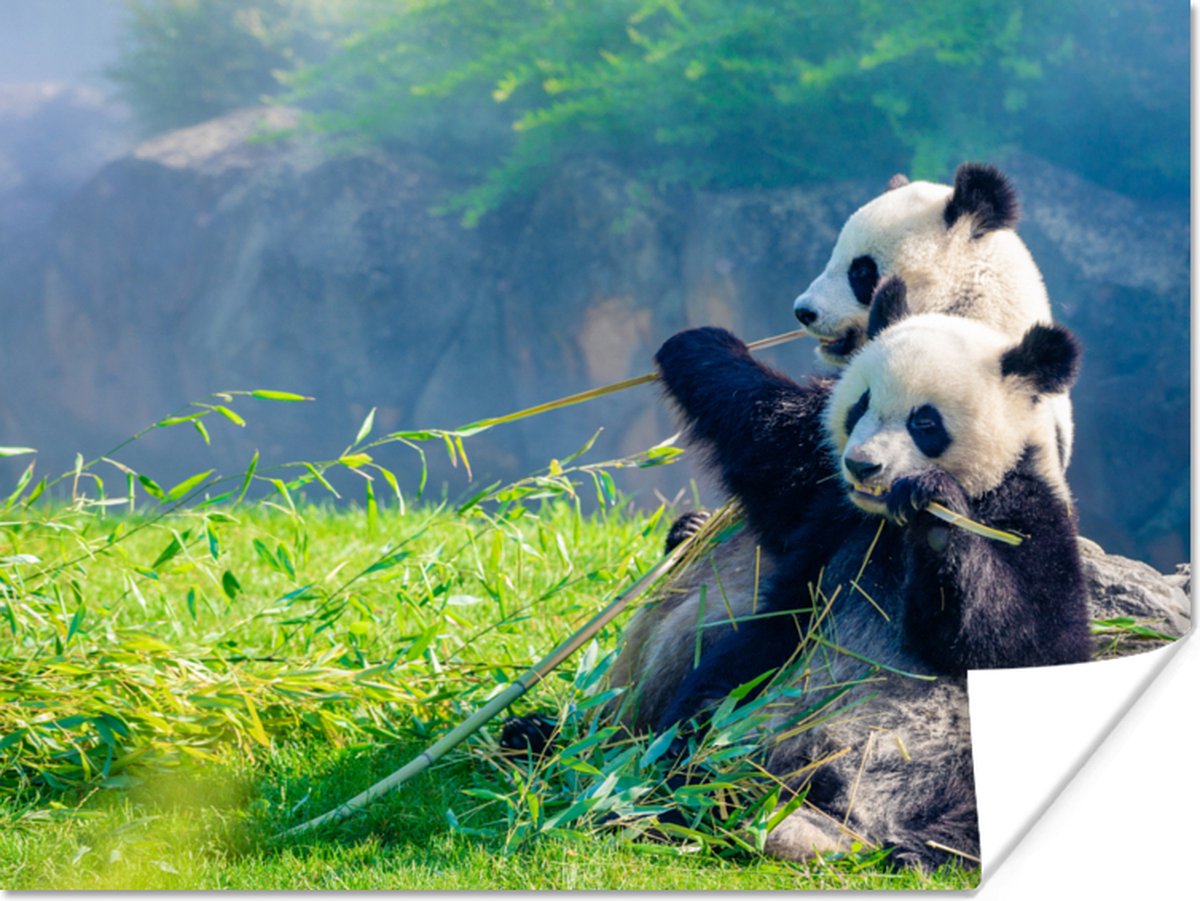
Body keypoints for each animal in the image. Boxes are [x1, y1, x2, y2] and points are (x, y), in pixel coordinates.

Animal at [639, 295, 1090, 866]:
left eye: (925, 421)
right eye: (860, 404)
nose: (862, 465)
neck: (888, 526)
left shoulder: (1029, 513)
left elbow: (1029, 640)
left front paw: (935, 513)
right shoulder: (831, 512)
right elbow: (772, 444)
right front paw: (698, 344)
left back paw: (919, 848)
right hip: (756, 702)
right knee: (704, 721)